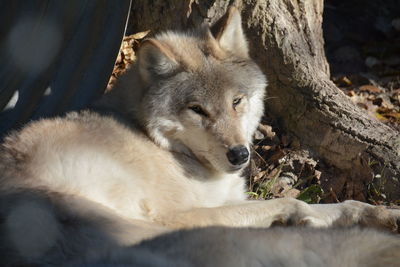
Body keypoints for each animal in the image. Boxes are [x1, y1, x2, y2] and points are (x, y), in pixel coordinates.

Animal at [0, 5, 400, 266]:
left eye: (236, 101)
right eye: (198, 110)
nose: (239, 155)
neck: (162, 145)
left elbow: (342, 205)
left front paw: (382, 213)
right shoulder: (183, 214)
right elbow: (295, 204)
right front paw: (301, 220)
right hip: (142, 227)